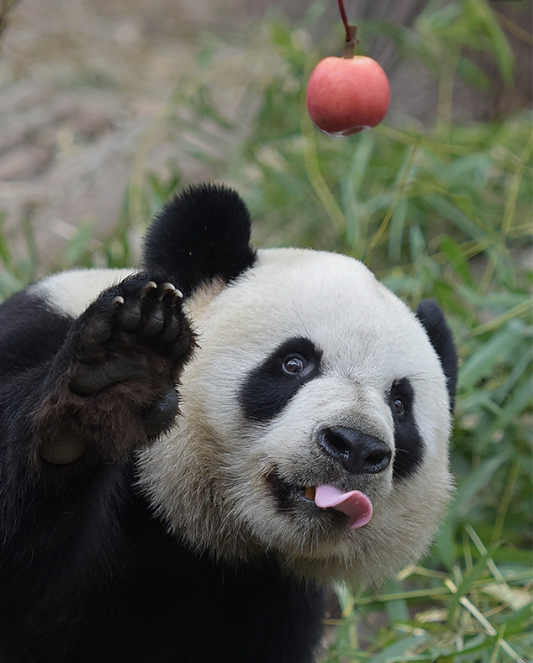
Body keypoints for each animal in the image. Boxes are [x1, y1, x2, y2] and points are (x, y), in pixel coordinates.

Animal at [0, 184, 458, 663]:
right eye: (294, 363)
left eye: (400, 404)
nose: (354, 446)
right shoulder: (32, 335)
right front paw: (109, 384)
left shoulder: (263, 599)